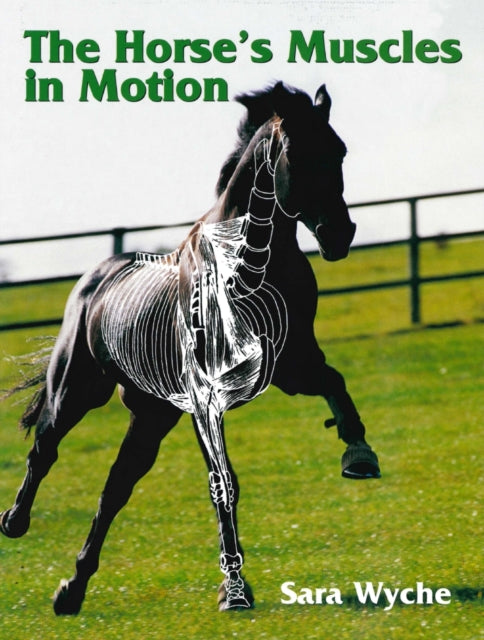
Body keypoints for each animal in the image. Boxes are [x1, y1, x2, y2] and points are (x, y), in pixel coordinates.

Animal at [0, 81, 380, 615]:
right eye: (298, 155)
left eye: (340, 151)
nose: (339, 234)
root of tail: (93, 281)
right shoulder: (207, 399)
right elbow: (225, 485)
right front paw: (233, 591)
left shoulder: (290, 365)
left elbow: (335, 383)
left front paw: (359, 455)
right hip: (75, 391)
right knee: (44, 450)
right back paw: (15, 523)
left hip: (152, 415)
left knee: (115, 488)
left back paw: (71, 591)